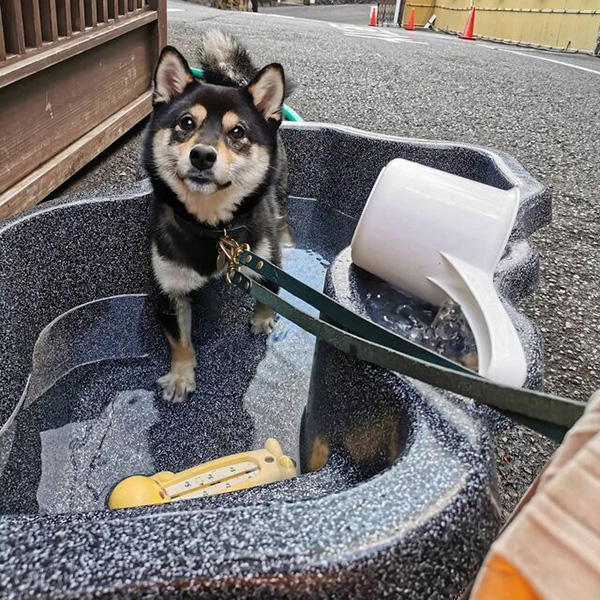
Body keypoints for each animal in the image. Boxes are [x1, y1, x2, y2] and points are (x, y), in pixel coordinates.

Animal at [143, 31, 288, 404]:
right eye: (186, 123)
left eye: (237, 132)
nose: (202, 155)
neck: (213, 230)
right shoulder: (169, 291)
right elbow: (180, 341)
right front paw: (181, 377)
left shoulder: (266, 259)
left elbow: (269, 293)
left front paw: (263, 320)